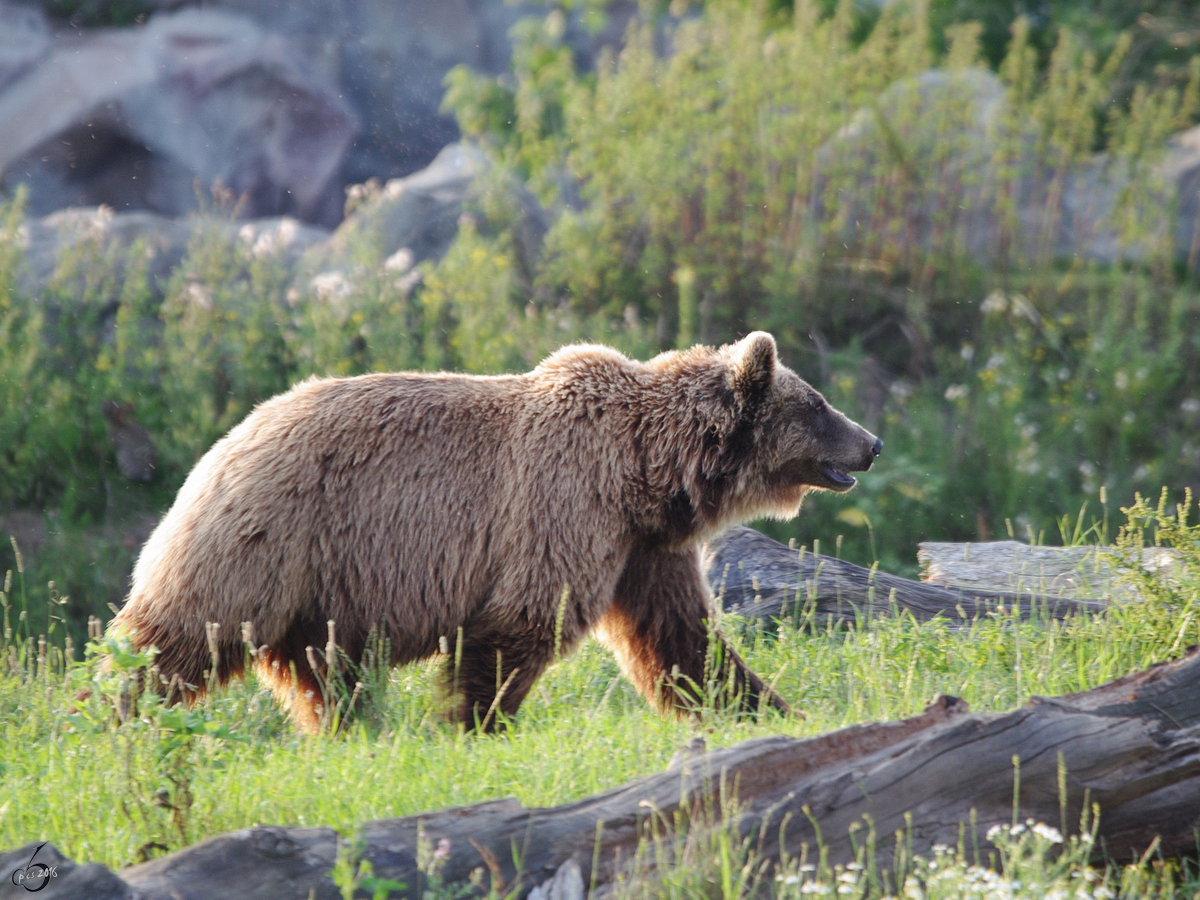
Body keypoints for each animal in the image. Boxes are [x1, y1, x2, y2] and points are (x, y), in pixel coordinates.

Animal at [112, 331, 883, 734]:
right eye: (818, 404)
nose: (871, 443)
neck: (645, 470)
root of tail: (223, 443)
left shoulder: (643, 547)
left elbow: (683, 639)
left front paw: (767, 707)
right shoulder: (562, 505)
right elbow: (523, 623)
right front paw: (475, 723)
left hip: (323, 591)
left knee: (327, 672)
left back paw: (352, 729)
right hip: (271, 541)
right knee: (179, 635)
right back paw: (113, 712)